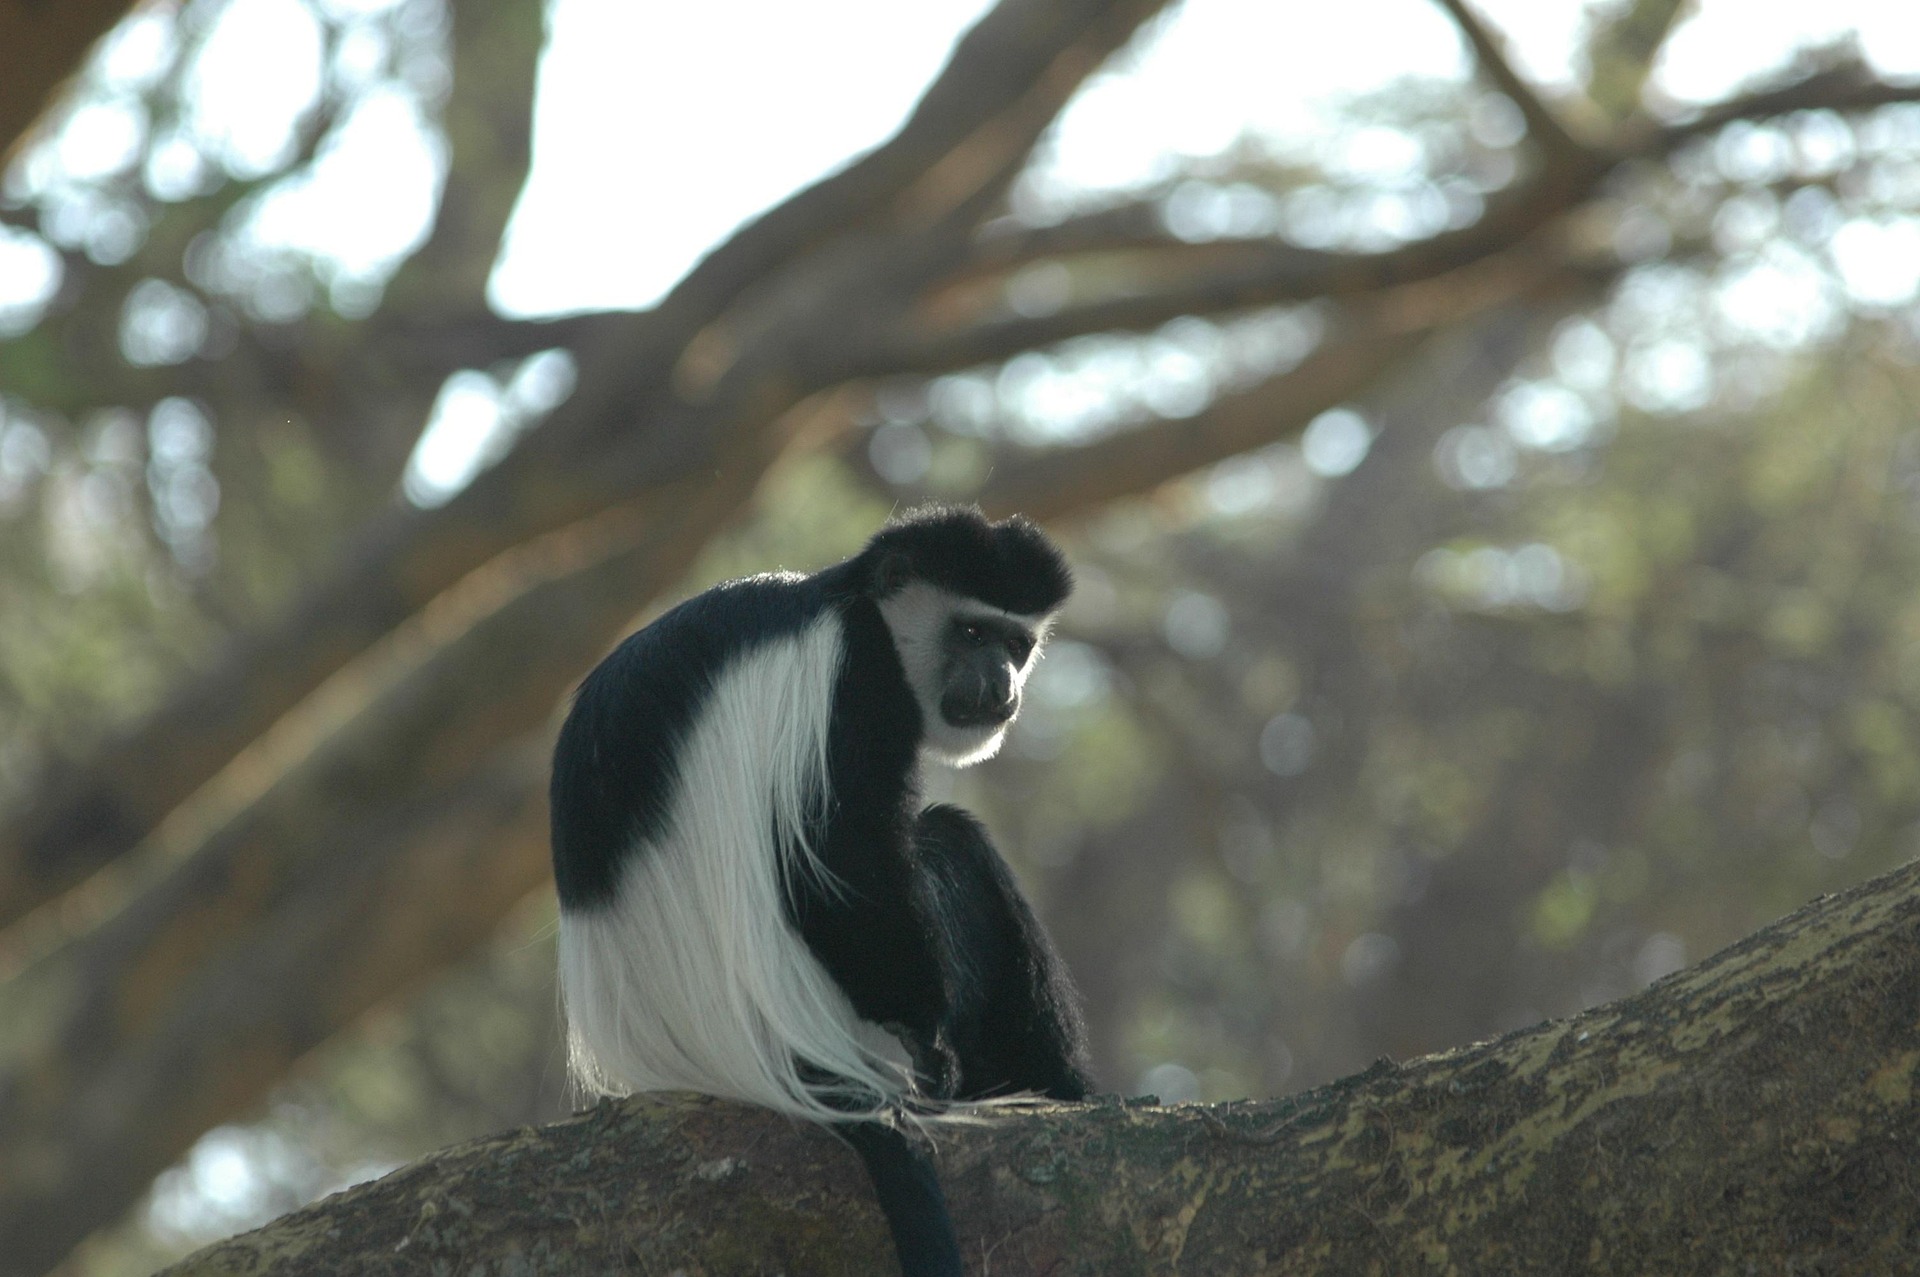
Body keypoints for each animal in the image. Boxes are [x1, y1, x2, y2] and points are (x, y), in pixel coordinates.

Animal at [550, 505, 1093, 1275]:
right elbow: (842, 857)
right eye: (970, 633)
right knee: (947, 842)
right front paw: (933, 1037)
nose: (1001, 685)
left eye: (1017, 645)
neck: (853, 601)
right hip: (829, 1015)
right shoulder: (856, 679)